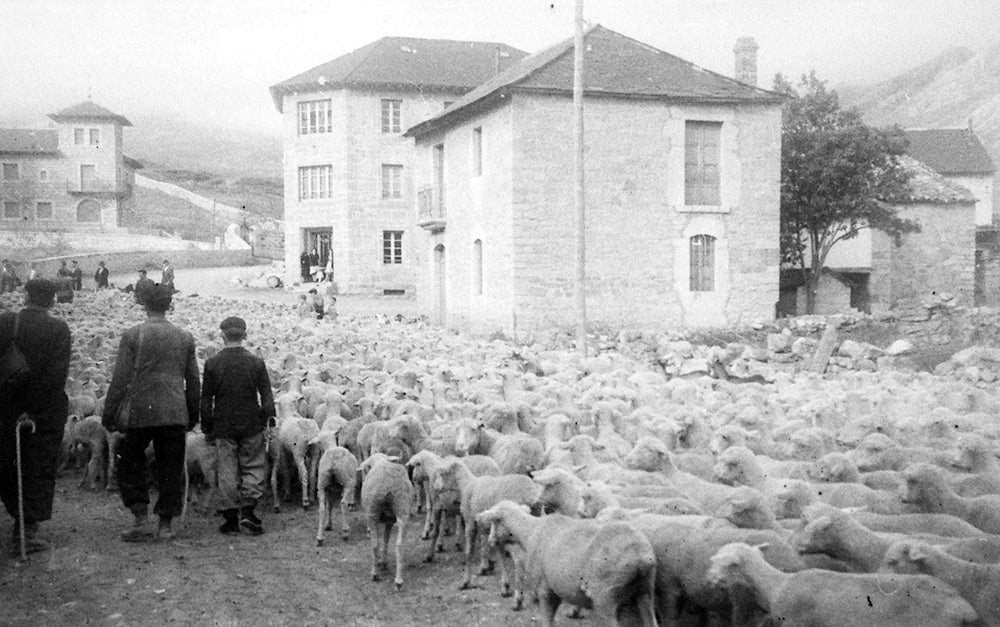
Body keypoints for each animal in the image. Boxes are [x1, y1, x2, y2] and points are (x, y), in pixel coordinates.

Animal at [358, 454, 412, 592]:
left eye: (367, 467)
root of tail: (389, 485)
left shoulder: (377, 518)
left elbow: (381, 540)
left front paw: (380, 562)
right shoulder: (389, 521)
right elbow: (386, 539)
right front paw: (383, 562)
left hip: (373, 511)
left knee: (375, 544)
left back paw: (374, 574)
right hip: (402, 507)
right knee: (400, 544)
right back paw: (398, 581)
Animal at [478, 500, 660, 627]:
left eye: (495, 521)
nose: (491, 541)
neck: (531, 532)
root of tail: (641, 557)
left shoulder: (545, 589)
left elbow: (546, 621)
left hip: (605, 596)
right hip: (645, 592)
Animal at [708, 544, 980, 624]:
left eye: (729, 563)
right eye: (714, 556)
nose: (708, 578)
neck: (777, 586)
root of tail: (963, 606)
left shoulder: (795, 623)